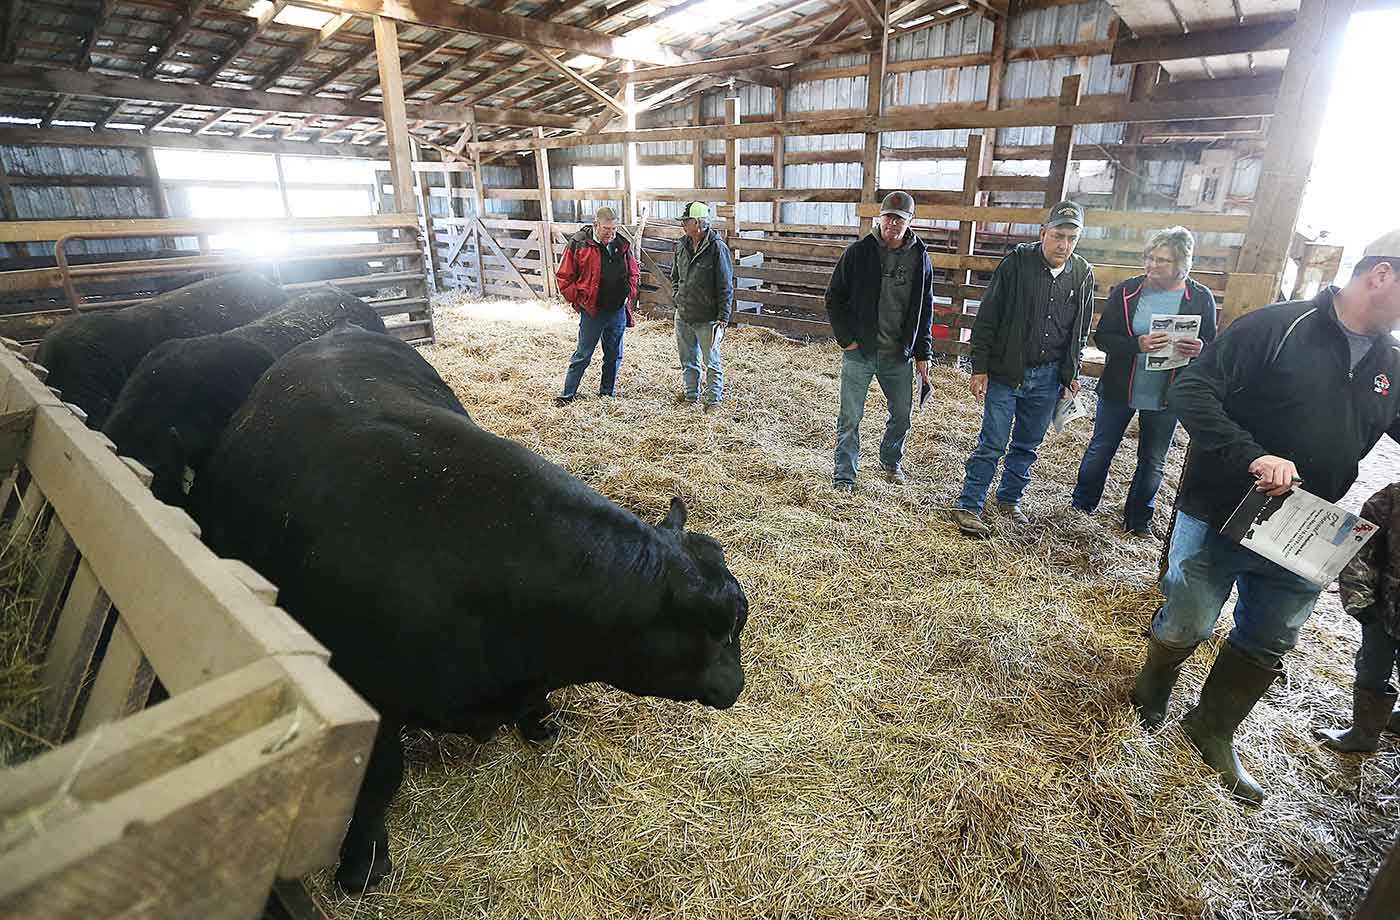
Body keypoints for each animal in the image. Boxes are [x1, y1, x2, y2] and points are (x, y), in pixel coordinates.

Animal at [194, 324, 756, 890]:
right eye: (726, 625)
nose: (737, 685)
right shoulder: (366, 694)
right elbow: (379, 777)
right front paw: (362, 862)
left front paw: (539, 724)